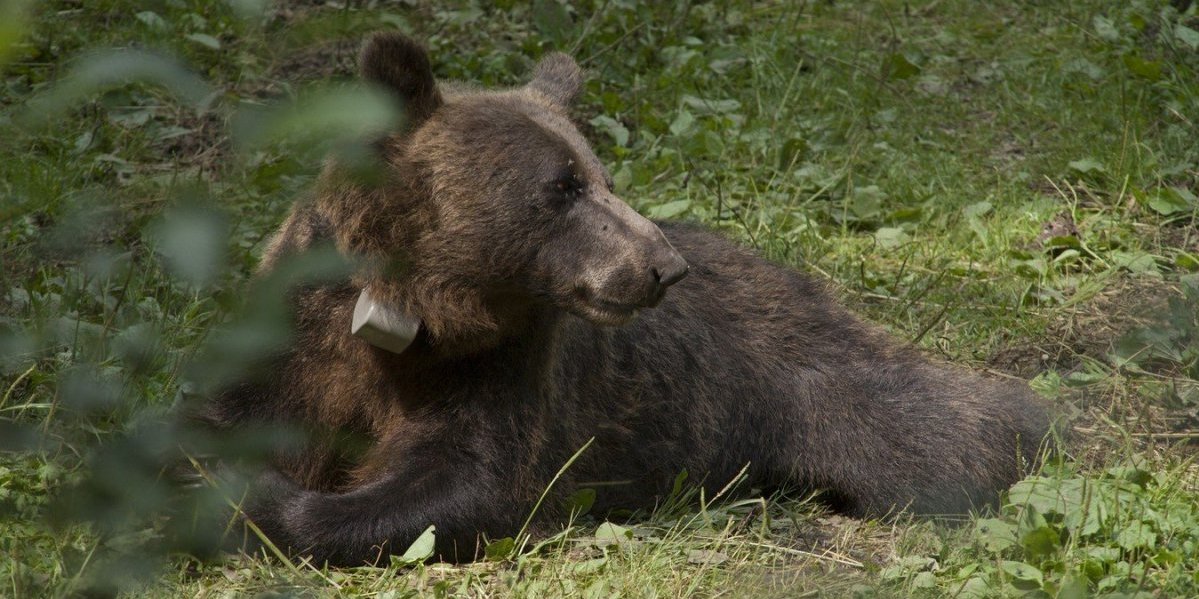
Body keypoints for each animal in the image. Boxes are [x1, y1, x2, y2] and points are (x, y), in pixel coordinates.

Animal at [201, 32, 1055, 565]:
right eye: (562, 186)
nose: (661, 267)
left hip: (795, 370)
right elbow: (229, 419)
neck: (419, 310)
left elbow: (462, 482)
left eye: (599, 175)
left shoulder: (505, 366)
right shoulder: (301, 329)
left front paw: (270, 502)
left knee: (927, 428)